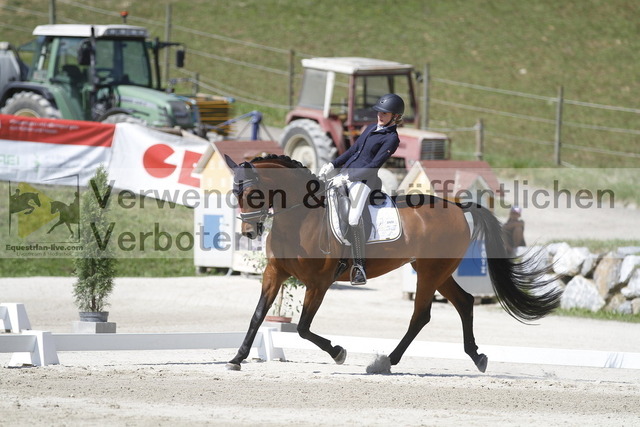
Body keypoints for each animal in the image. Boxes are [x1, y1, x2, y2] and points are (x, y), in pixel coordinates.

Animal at [223, 154, 562, 372]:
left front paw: (339, 353)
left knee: (421, 315)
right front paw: (237, 358)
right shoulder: (274, 273)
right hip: (437, 271)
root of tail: (457, 207)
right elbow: (257, 316)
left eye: (253, 193)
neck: (301, 218)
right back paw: (477, 357)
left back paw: (386, 362)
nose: (249, 231)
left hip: (430, 272)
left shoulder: (319, 283)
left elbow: (304, 328)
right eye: (234, 194)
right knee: (464, 302)